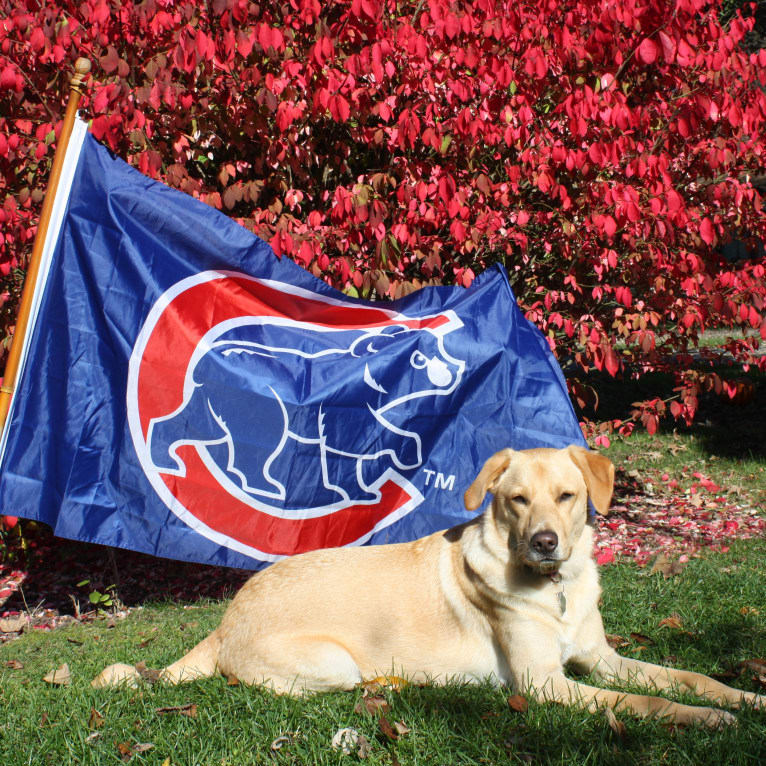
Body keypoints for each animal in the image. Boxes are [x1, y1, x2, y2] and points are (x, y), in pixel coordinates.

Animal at [93, 448, 764, 728]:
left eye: (567, 496)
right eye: (516, 500)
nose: (545, 543)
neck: (555, 590)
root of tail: (226, 619)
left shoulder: (602, 658)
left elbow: (687, 678)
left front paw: (742, 698)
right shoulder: (546, 686)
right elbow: (644, 704)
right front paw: (707, 720)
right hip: (333, 665)